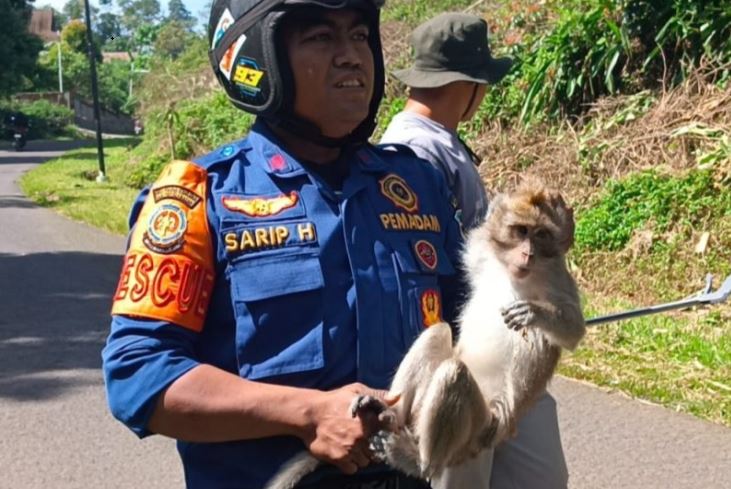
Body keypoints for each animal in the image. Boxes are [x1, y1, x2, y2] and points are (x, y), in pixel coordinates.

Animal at [266, 179, 588, 488]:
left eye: (542, 235)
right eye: (521, 231)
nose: (527, 253)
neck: (513, 274)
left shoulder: (556, 277)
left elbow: (573, 331)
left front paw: (534, 313)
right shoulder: (482, 253)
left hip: (479, 427)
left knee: (458, 373)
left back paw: (419, 462)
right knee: (438, 333)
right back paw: (389, 412)